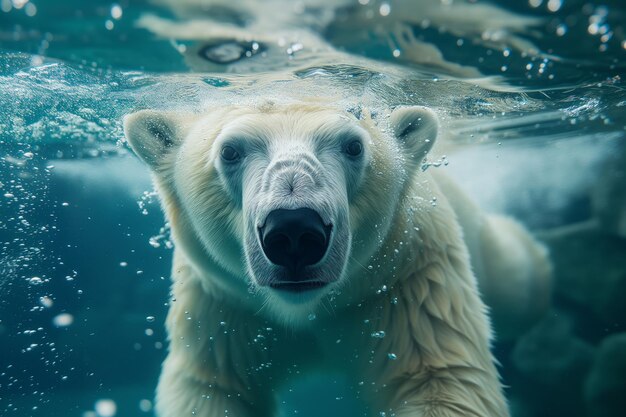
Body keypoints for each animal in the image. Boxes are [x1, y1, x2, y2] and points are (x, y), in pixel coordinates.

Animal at [124, 103, 544, 416]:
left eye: (353, 146)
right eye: (230, 151)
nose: (294, 232)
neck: (307, 307)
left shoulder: (408, 282)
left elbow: (442, 380)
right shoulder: (224, 309)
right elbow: (213, 387)